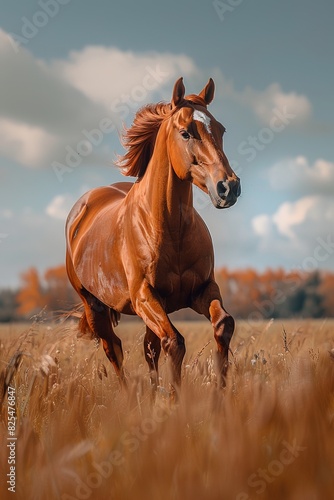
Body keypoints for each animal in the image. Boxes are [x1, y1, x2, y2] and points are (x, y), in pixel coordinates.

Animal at [65, 77, 241, 390]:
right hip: (94, 305)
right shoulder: (144, 296)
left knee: (149, 348)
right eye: (185, 132)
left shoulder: (202, 290)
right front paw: (172, 397)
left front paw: (219, 394)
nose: (228, 187)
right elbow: (174, 342)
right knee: (113, 348)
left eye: (220, 129)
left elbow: (223, 326)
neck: (171, 229)